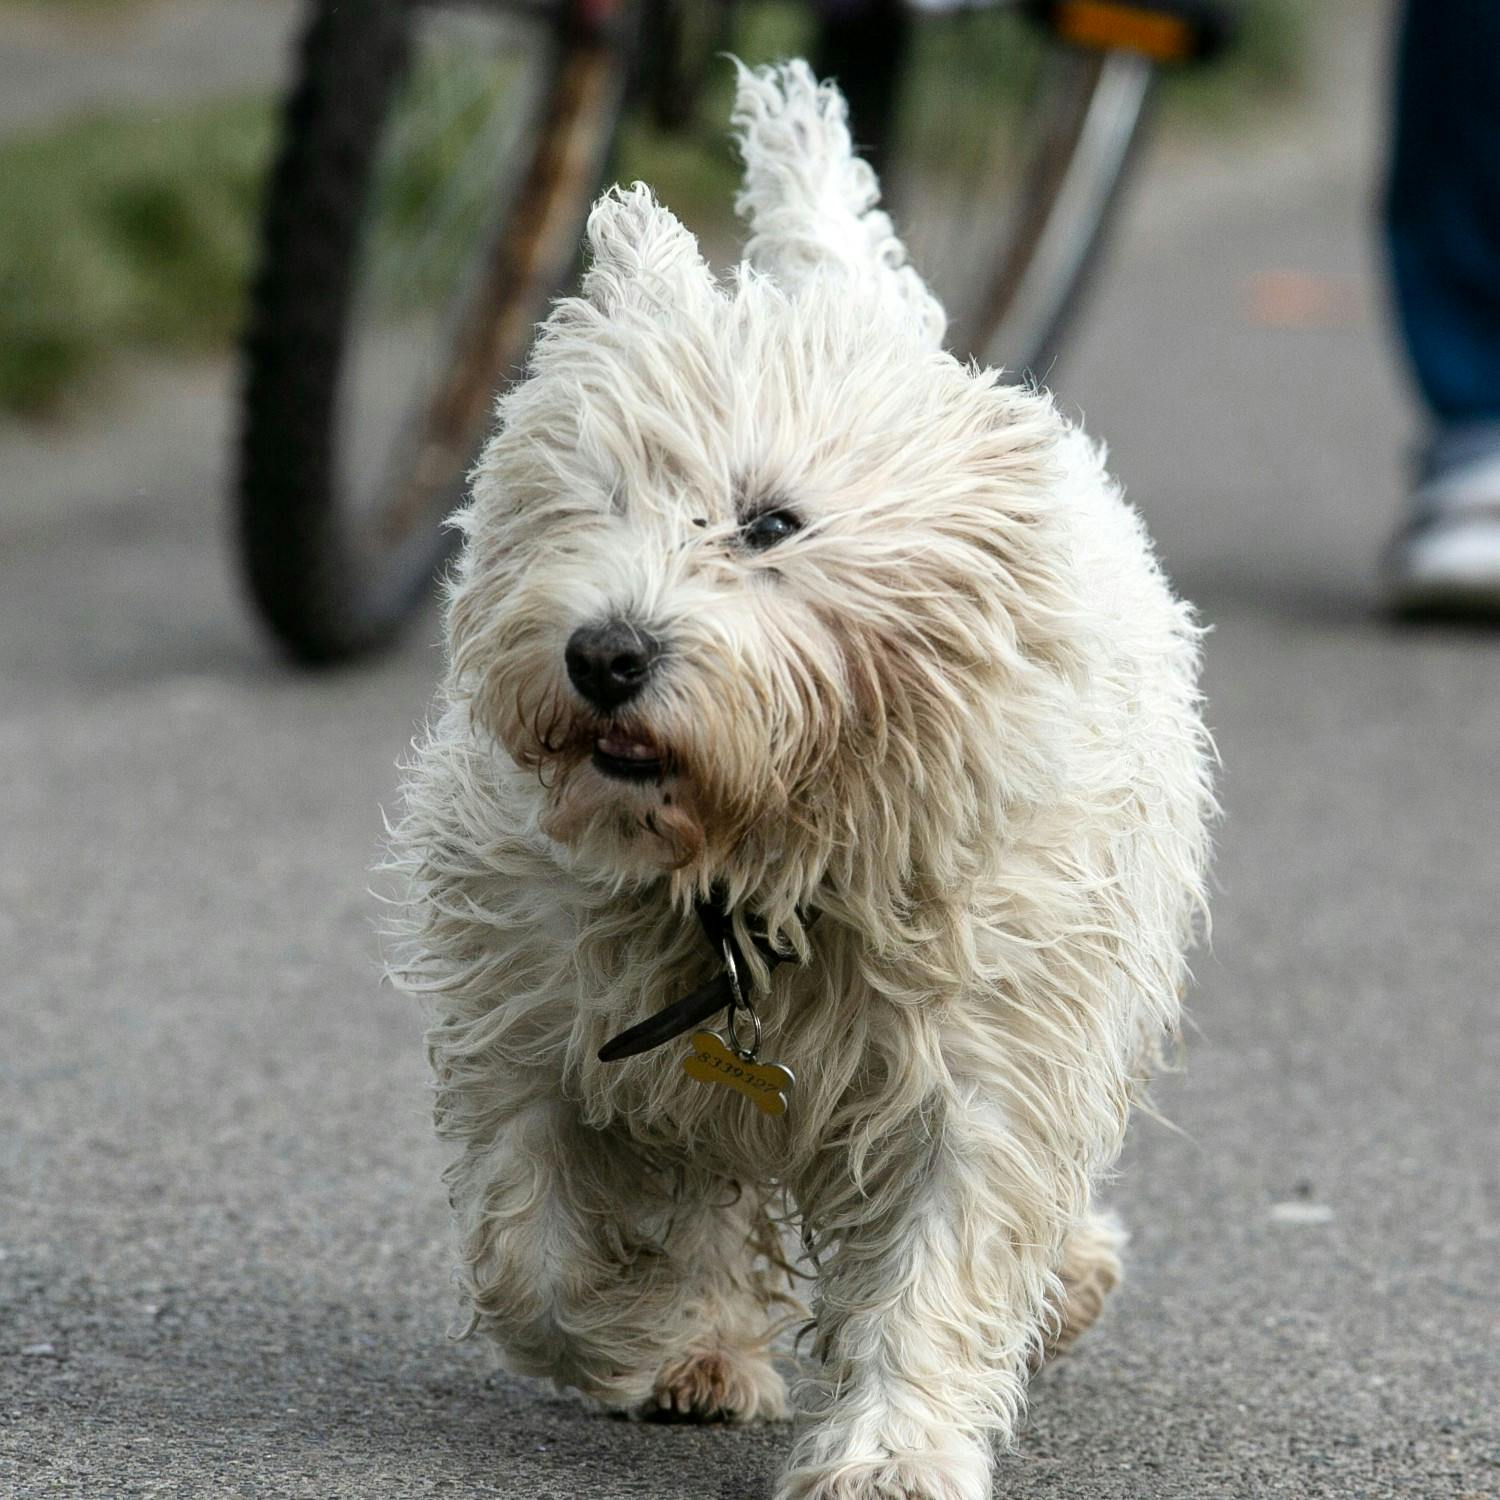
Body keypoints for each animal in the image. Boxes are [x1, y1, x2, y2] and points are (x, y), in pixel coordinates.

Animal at [387, 58, 1206, 1500]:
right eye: (591, 498)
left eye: (772, 524)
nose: (606, 655)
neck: (750, 862)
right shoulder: (532, 1024)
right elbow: (531, 1250)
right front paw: (653, 1324)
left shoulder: (980, 1060)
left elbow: (943, 1262)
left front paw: (892, 1454)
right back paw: (707, 1344)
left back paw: (1068, 1281)